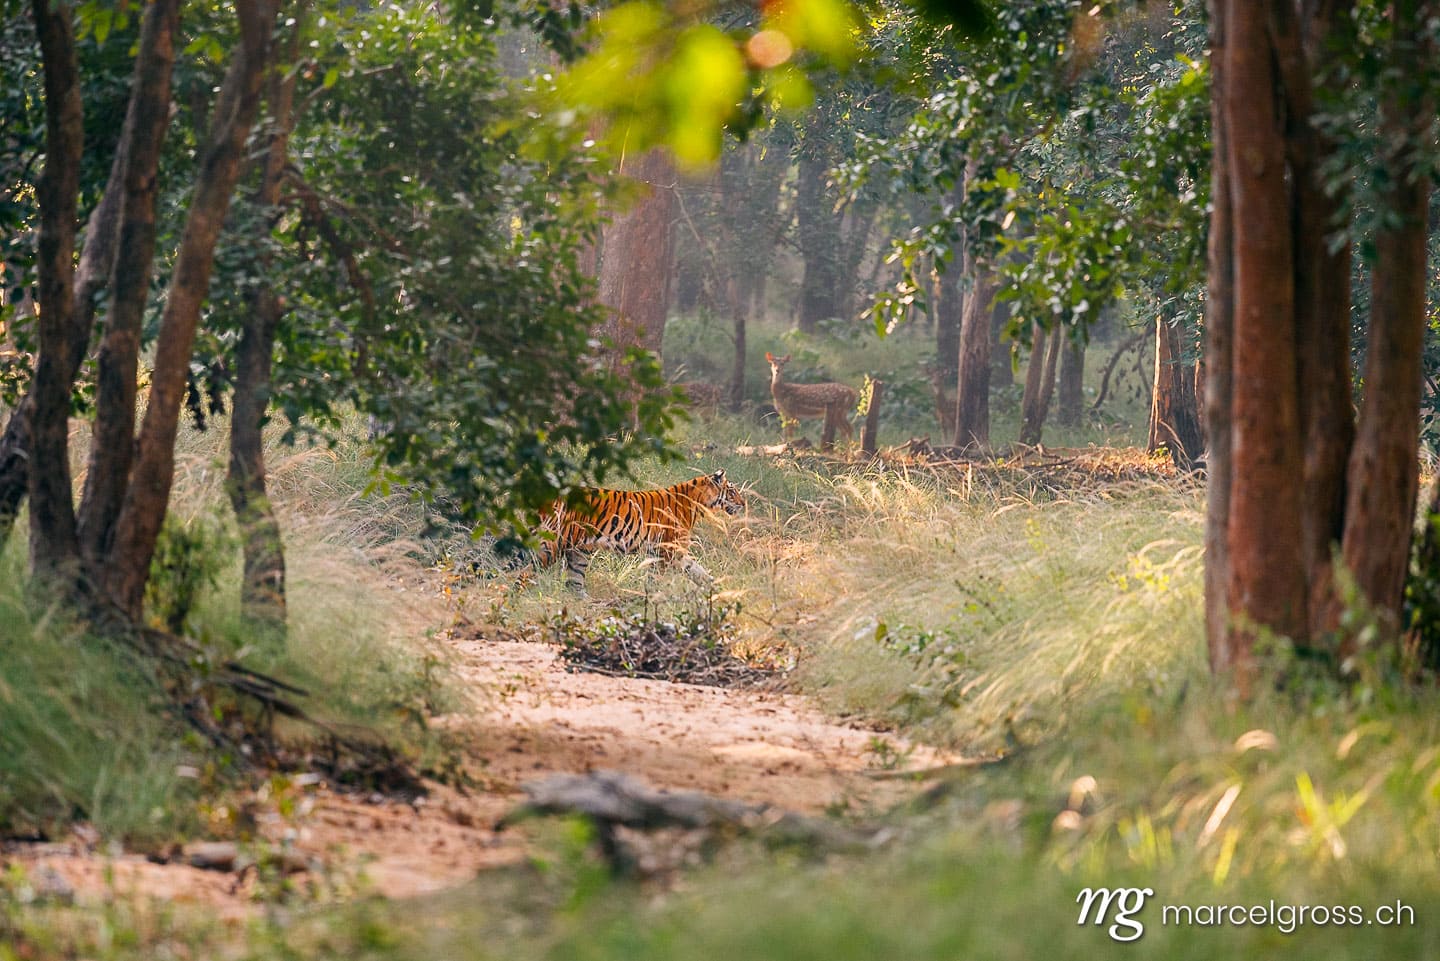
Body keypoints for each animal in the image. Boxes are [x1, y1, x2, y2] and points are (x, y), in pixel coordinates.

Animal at [520, 469, 745, 596]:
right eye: (732, 491)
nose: (743, 504)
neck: (696, 502)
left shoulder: (670, 552)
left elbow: (698, 571)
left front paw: (717, 589)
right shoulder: (668, 551)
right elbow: (657, 580)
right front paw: (653, 598)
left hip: (578, 551)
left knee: (574, 582)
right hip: (553, 546)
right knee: (525, 571)